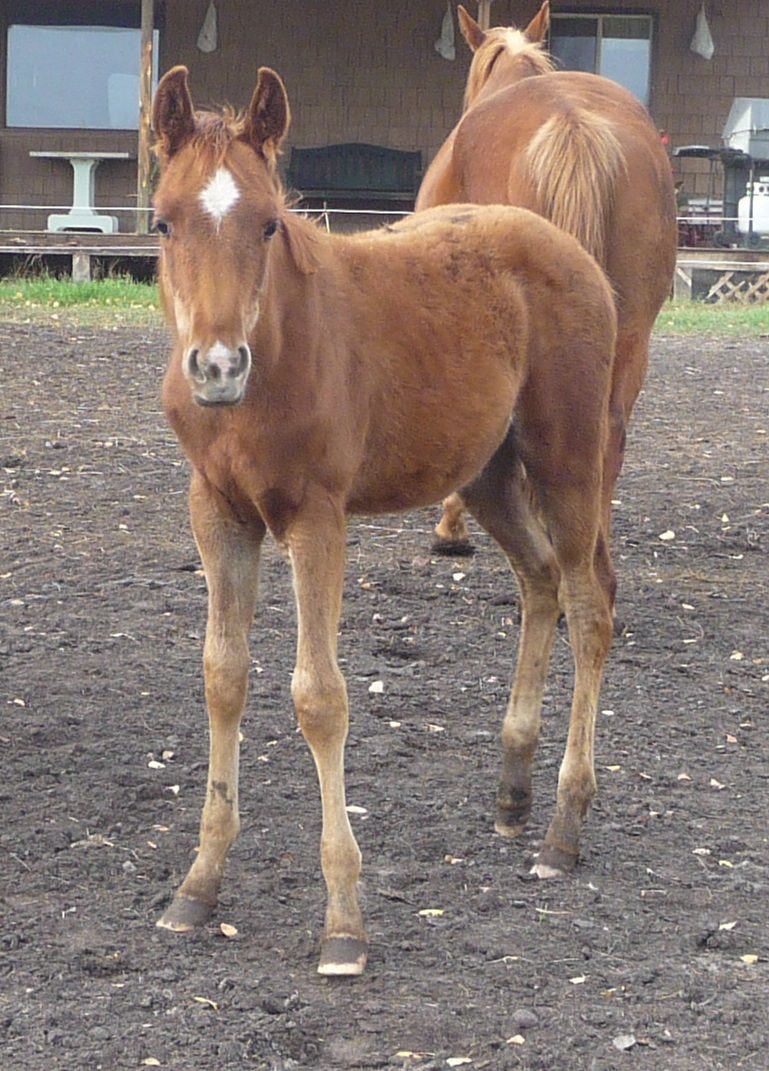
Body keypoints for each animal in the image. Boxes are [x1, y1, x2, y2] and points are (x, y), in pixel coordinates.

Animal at [152, 62, 621, 976]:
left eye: (268, 223)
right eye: (162, 221)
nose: (217, 366)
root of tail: (571, 248)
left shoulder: (316, 515)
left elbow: (319, 695)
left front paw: (344, 921)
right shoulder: (216, 510)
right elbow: (223, 676)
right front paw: (198, 884)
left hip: (566, 458)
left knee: (589, 606)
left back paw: (562, 824)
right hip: (486, 476)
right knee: (539, 580)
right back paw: (511, 790)